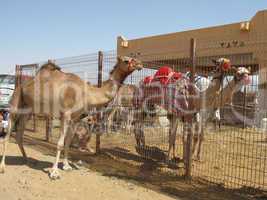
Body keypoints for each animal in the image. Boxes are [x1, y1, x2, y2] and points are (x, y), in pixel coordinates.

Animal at [0, 55, 143, 179]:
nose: (140, 63)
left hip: (28, 111)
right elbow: (59, 143)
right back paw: (3, 167)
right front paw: (54, 173)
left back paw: (27, 160)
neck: (86, 92)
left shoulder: (75, 118)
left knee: (19, 134)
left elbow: (68, 142)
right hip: (15, 104)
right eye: (126, 60)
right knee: (8, 134)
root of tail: (20, 86)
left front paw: (67, 166)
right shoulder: (65, 115)